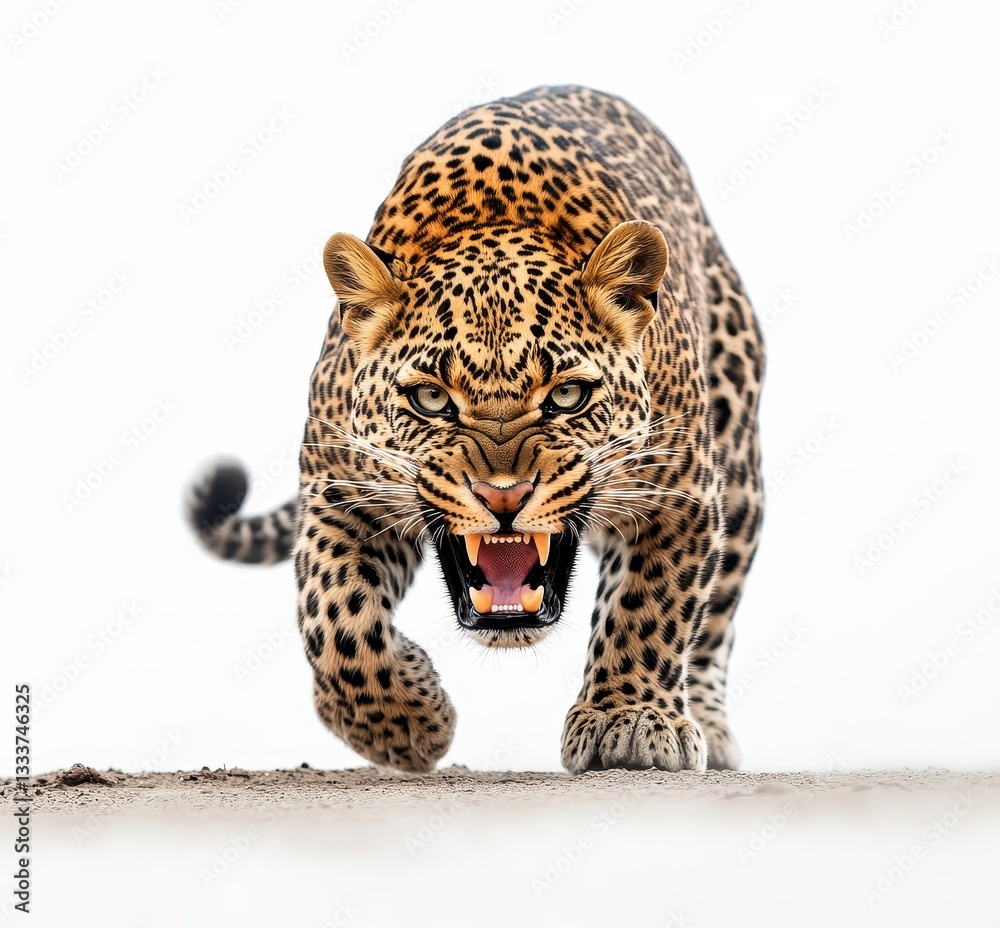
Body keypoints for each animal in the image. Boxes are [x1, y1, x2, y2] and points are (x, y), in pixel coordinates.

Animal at [187, 85, 764, 775]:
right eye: (432, 399)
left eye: (566, 394)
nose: (503, 498)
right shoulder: (338, 492)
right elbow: (335, 618)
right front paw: (404, 724)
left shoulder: (681, 495)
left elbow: (650, 609)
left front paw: (628, 719)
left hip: (740, 465)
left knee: (718, 614)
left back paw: (706, 723)